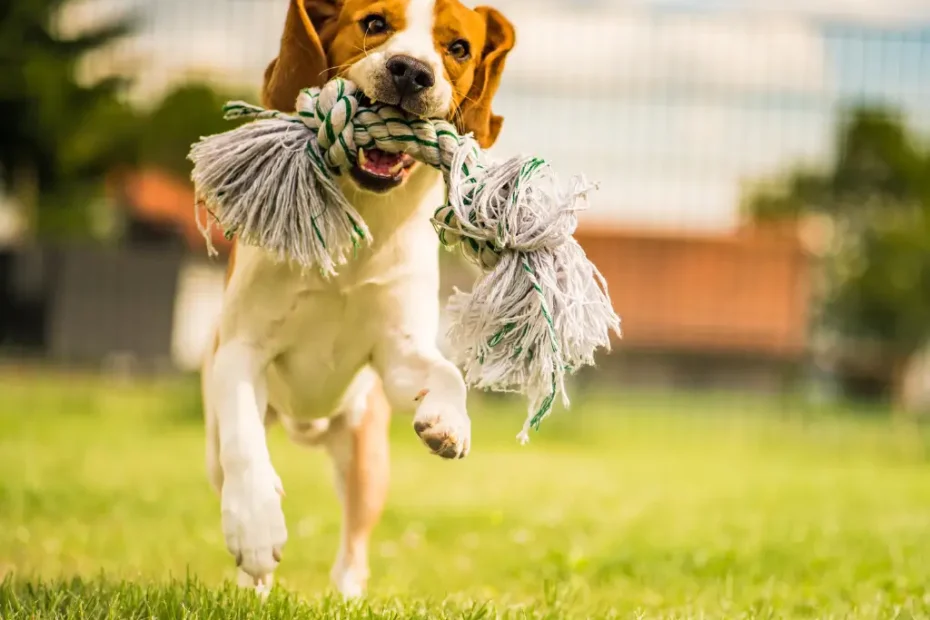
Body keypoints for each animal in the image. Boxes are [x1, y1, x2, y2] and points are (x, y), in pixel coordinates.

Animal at [200, 0, 516, 600]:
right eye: (374, 23)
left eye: (458, 48)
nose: (411, 71)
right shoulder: (239, 350)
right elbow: (246, 449)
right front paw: (255, 529)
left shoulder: (394, 353)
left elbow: (448, 373)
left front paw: (449, 421)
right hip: (219, 444)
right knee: (233, 462)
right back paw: (252, 582)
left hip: (366, 457)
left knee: (355, 543)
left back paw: (346, 596)